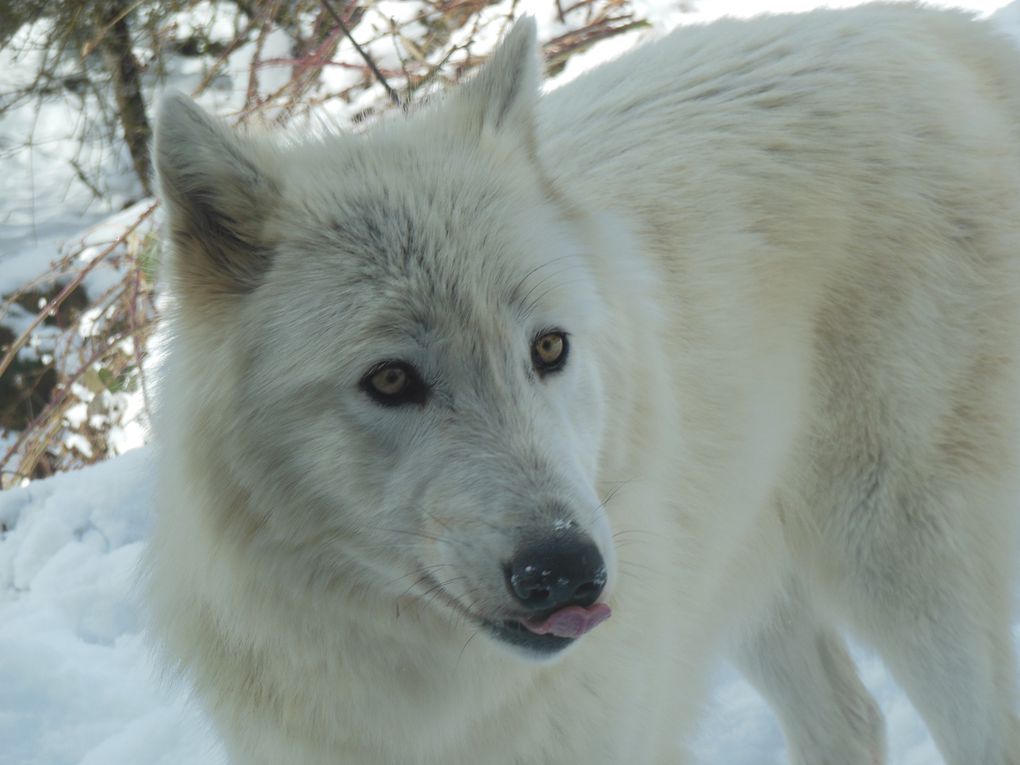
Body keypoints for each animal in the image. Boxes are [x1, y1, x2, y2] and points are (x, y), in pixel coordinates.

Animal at [148, 5, 1020, 765]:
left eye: (548, 347)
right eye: (390, 378)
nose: (566, 569)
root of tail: (923, 27)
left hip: (901, 555)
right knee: (850, 719)